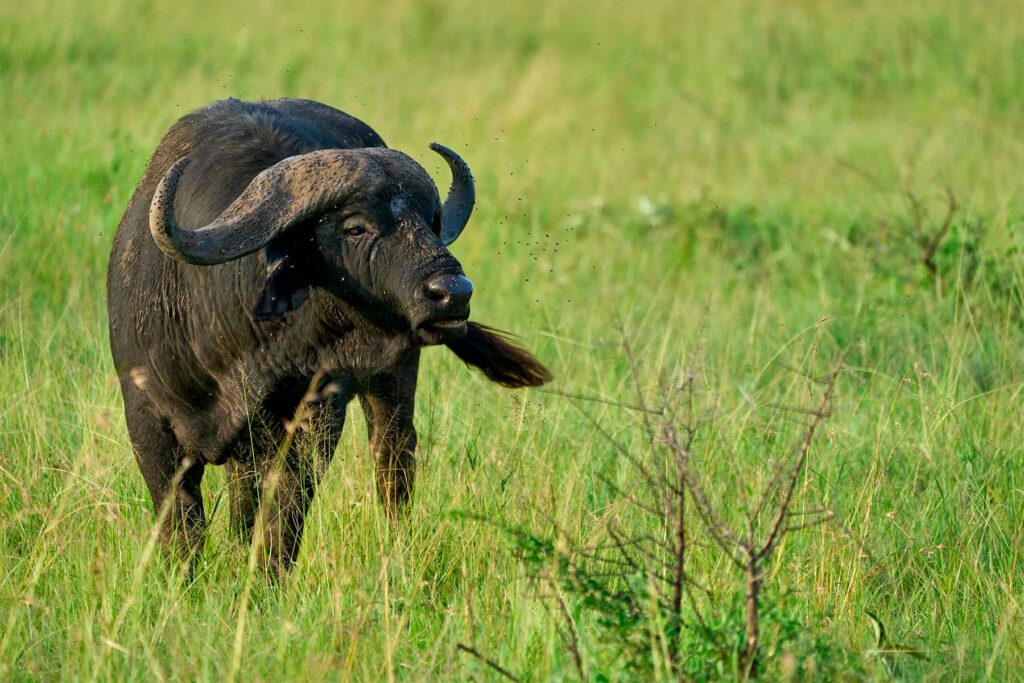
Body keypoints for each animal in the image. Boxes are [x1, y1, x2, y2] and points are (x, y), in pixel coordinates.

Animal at [107, 97, 548, 577]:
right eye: (355, 227)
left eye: (428, 222)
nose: (453, 293)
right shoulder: (147, 423)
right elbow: (183, 527)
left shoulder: (311, 419)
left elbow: (283, 517)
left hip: (394, 377)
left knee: (393, 460)